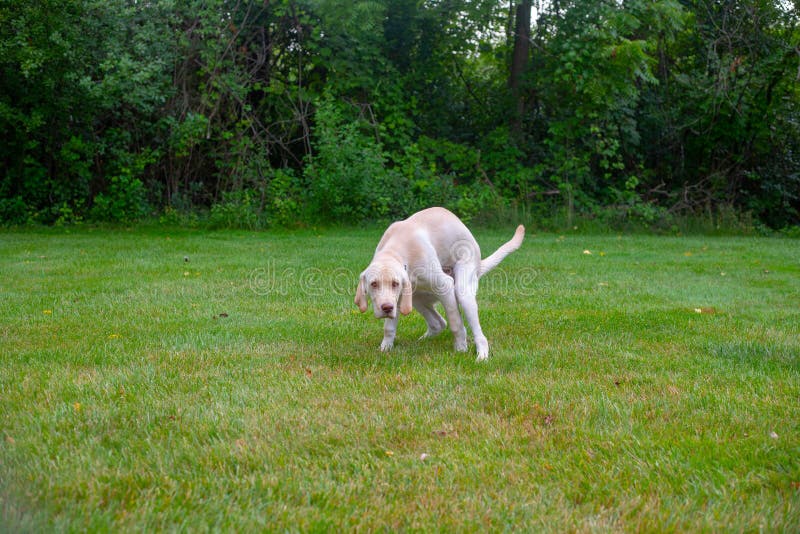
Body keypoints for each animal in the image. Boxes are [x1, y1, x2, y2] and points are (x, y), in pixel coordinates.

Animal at [356, 207, 524, 362]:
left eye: (395, 283)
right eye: (373, 284)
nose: (387, 308)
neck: (396, 250)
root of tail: (478, 264)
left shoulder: (445, 287)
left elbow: (456, 324)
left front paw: (460, 348)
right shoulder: (399, 298)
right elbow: (389, 328)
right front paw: (385, 348)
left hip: (462, 293)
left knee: (477, 334)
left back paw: (482, 356)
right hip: (415, 298)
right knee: (439, 323)